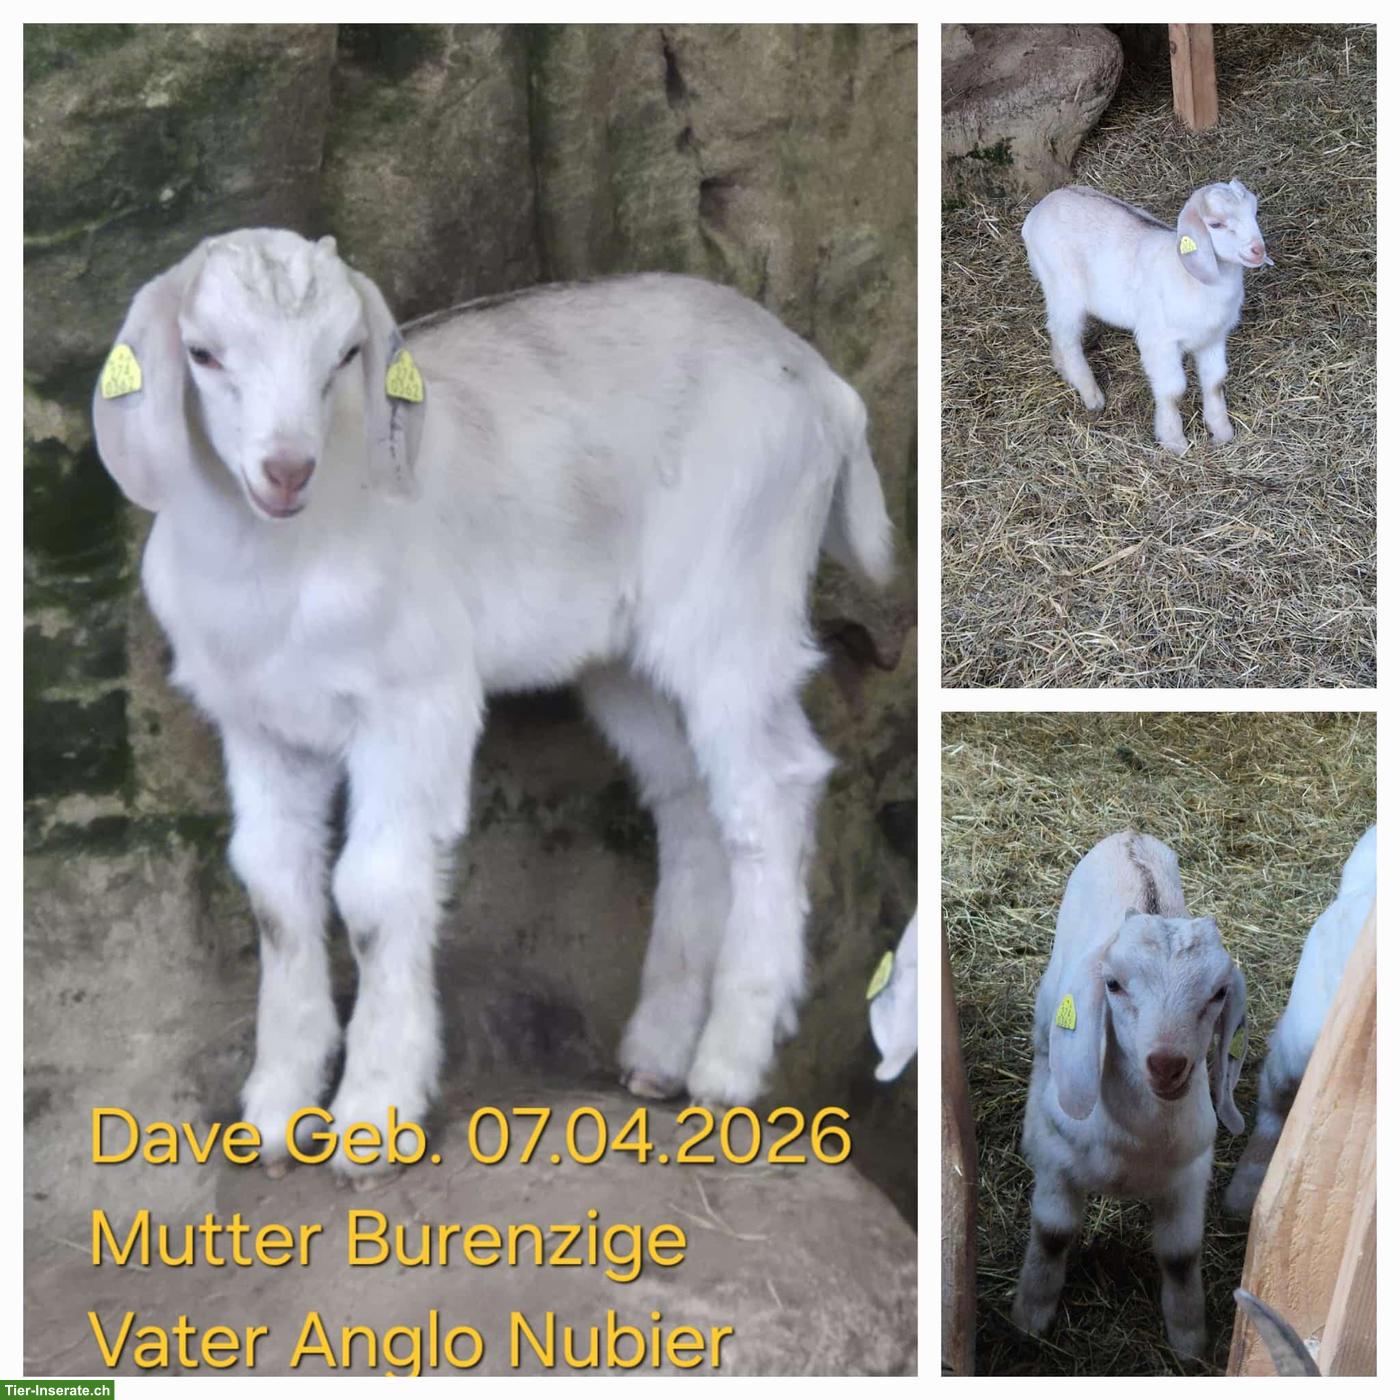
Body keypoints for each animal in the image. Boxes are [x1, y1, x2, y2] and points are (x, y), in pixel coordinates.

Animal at [91, 229, 894, 1174]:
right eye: (204, 353)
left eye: (346, 353)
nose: (286, 471)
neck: (279, 563)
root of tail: (824, 386)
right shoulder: (259, 725)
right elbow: (276, 895)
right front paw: (276, 1112)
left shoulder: (414, 702)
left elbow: (373, 892)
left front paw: (372, 1115)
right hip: (626, 658)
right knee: (689, 797)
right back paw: (657, 1055)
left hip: (735, 598)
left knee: (772, 789)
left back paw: (728, 1065)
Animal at [1012, 831, 1247, 1359]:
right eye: (1114, 985)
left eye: (1218, 994)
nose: (1167, 1064)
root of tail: (1131, 836)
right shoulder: (1058, 1163)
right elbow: (1053, 1233)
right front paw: (1030, 1315)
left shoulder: (1189, 1175)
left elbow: (1181, 1255)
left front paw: (1189, 1338)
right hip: (1047, 1001)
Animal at [1022, 180, 1271, 454]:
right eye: (1215, 224)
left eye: (1254, 212)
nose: (1258, 250)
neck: (1189, 275)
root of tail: (1039, 210)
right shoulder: (1159, 342)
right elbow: (1173, 391)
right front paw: (1174, 441)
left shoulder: (1212, 338)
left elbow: (1215, 382)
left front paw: (1222, 432)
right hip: (1063, 290)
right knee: (1066, 337)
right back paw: (1090, 394)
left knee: (1056, 331)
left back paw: (1064, 370)